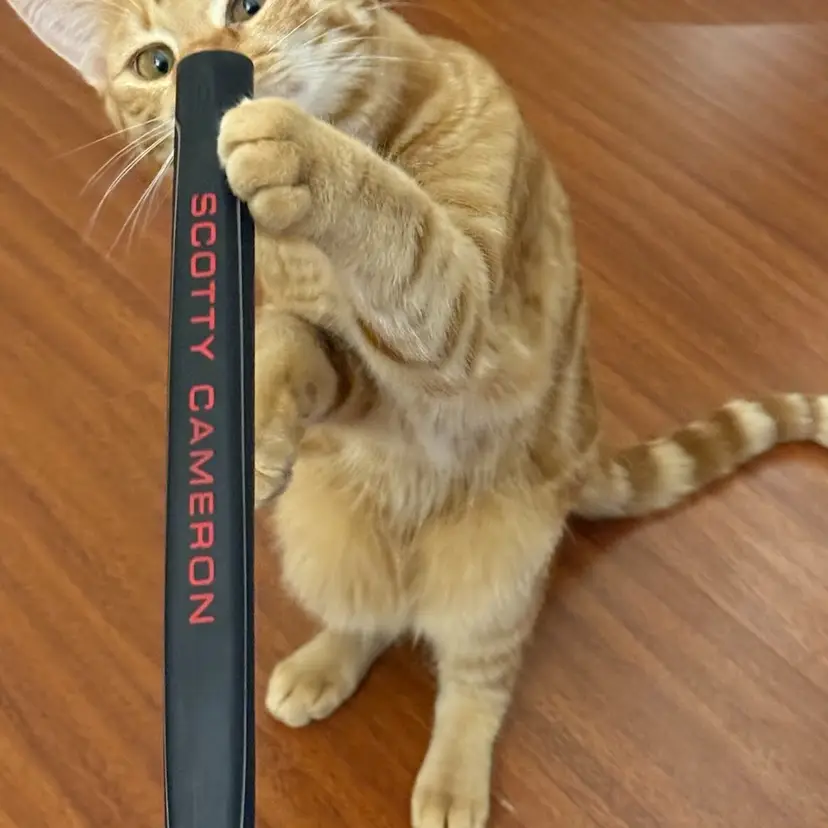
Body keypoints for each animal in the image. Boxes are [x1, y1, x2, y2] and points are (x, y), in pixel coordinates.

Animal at [9, 1, 827, 826]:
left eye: (245, 8)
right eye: (155, 64)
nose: (211, 73)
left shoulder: (477, 335)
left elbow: (405, 232)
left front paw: (302, 151)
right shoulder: (352, 371)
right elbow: (286, 333)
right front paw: (250, 432)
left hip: (498, 575)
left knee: (478, 678)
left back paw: (452, 781)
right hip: (323, 540)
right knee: (369, 614)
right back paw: (322, 663)